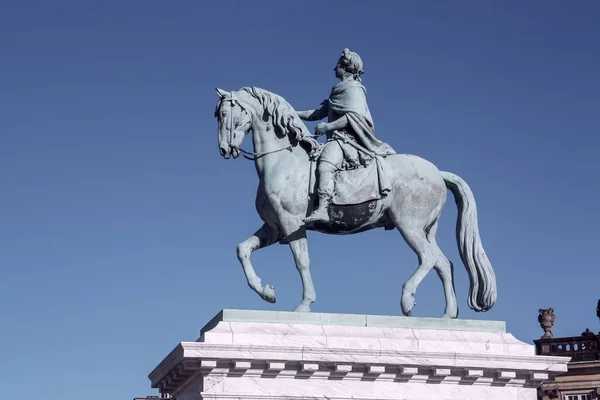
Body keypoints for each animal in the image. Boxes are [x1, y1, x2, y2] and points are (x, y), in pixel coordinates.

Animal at [213, 86, 494, 318]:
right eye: (218, 115)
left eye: (225, 113)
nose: (224, 150)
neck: (283, 161)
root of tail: (438, 172)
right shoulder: (274, 227)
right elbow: (242, 249)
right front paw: (267, 292)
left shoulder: (291, 223)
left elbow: (302, 261)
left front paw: (304, 303)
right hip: (426, 229)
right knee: (443, 264)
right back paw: (447, 315)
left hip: (409, 225)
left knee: (428, 258)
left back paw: (407, 299)